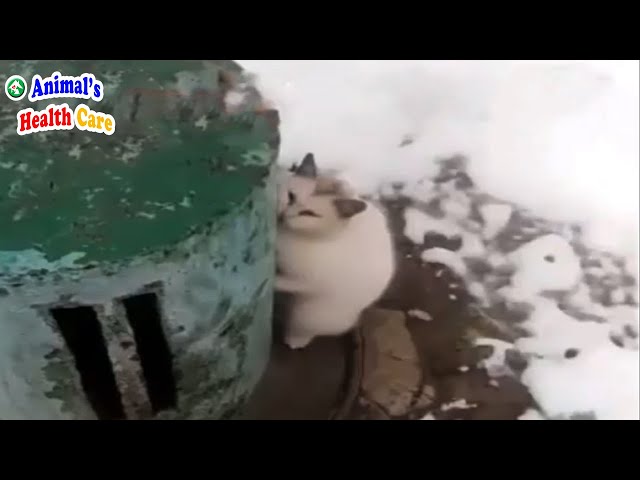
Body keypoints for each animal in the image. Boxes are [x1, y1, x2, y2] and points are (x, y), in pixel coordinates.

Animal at [276, 154, 396, 348]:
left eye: (309, 213)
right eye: (291, 196)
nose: (282, 215)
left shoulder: (305, 282)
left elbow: (280, 282)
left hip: (307, 314)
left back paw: (294, 340)